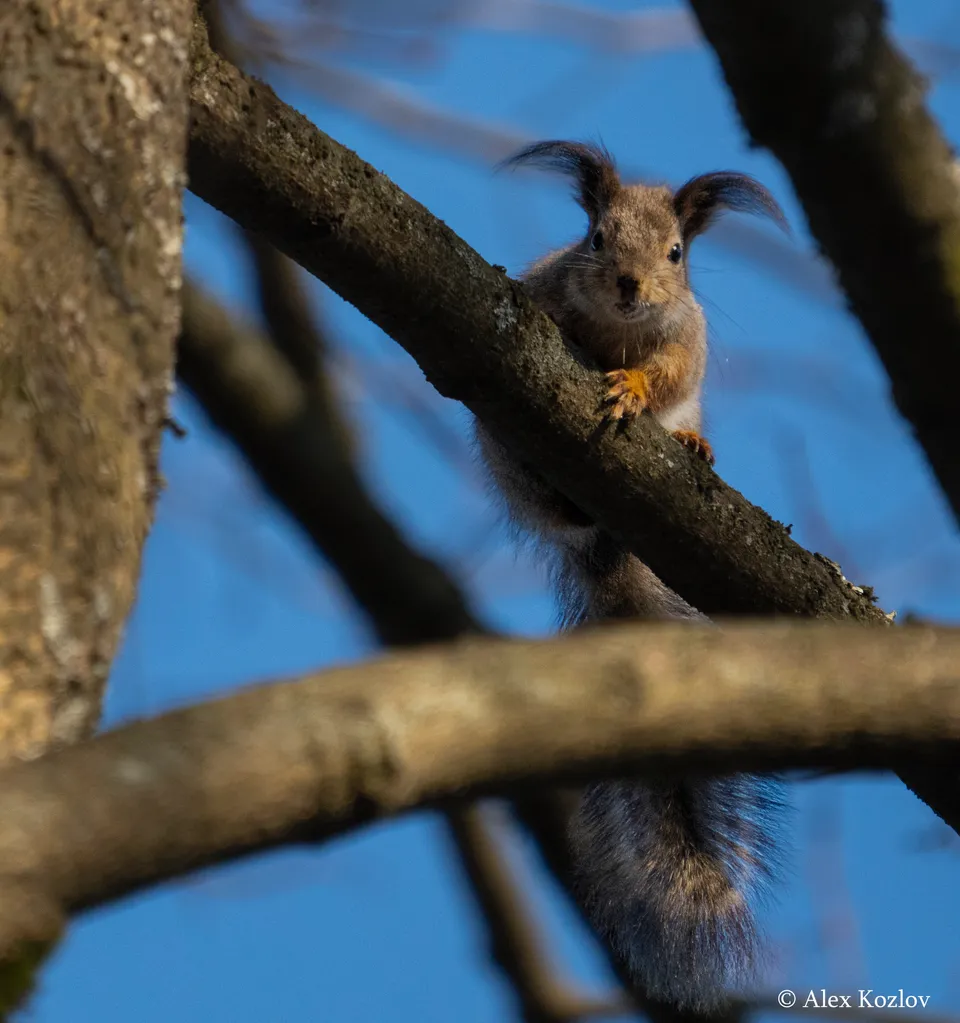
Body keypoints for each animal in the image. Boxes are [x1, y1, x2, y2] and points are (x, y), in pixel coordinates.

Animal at [476, 141, 788, 1010]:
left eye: (678, 254)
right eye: (595, 237)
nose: (629, 286)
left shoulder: (690, 336)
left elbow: (671, 374)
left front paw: (636, 389)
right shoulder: (549, 284)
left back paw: (693, 447)